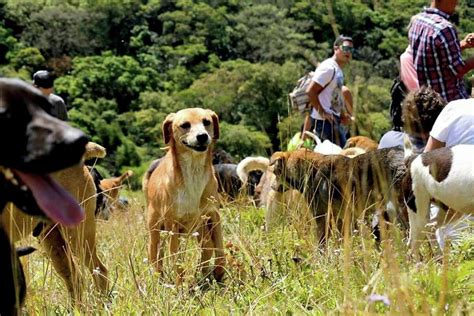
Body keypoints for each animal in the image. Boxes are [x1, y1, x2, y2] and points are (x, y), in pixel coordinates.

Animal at [143, 108, 225, 282]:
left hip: (201, 229)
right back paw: (159, 279)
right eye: (185, 125)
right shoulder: (173, 226)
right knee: (156, 256)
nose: (202, 136)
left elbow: (220, 248)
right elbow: (177, 262)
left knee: (207, 247)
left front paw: (219, 272)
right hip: (156, 230)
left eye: (206, 122)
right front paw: (180, 286)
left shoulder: (213, 216)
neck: (193, 171)